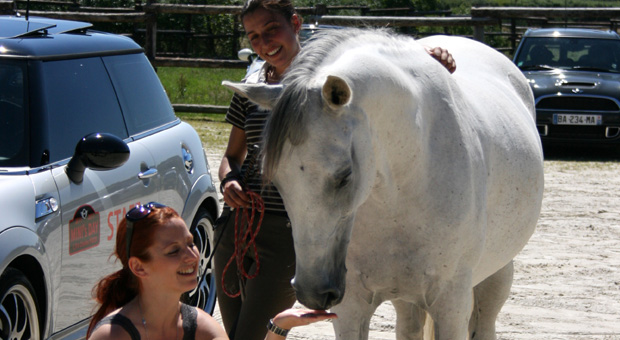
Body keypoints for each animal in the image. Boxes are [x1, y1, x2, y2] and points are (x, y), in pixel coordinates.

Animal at [223, 28, 544, 340]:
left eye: (345, 176)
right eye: (276, 179)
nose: (312, 291)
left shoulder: (451, 305)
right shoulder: (351, 308)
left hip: (496, 275)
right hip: (405, 298)